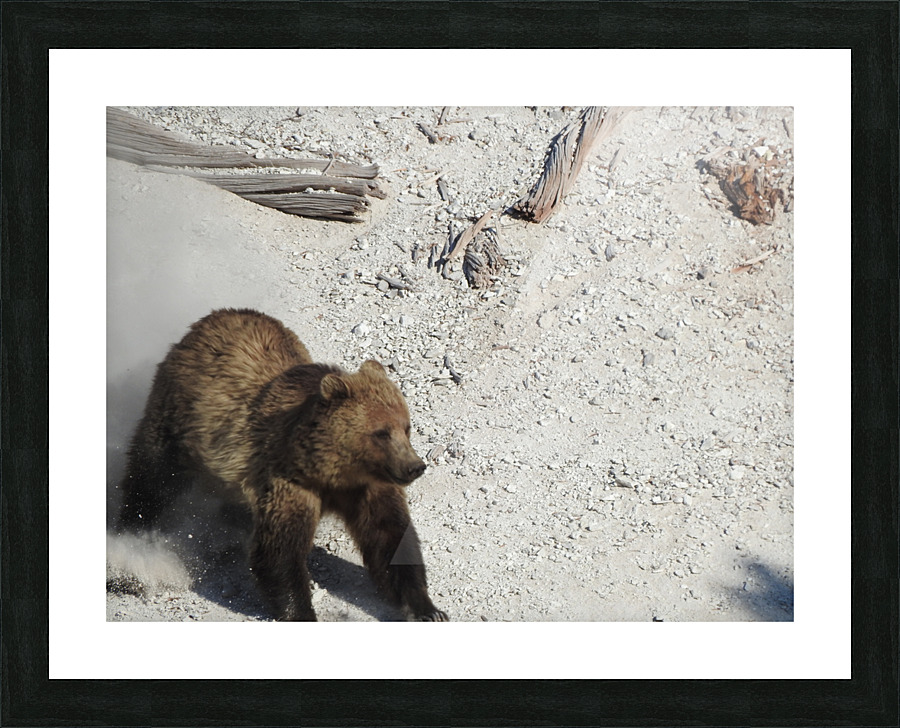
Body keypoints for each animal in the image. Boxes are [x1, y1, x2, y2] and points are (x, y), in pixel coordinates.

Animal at [117, 308, 448, 622]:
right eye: (381, 432)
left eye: (406, 427)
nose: (415, 466)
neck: (331, 468)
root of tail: (209, 320)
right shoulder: (287, 479)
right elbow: (279, 551)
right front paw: (301, 611)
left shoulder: (368, 486)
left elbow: (391, 538)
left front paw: (427, 608)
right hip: (178, 418)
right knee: (152, 475)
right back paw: (130, 534)